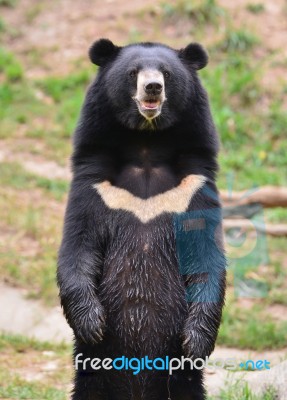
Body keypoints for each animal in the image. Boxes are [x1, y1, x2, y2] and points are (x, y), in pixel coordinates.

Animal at [58, 38, 227, 400]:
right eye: (133, 72)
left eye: (166, 73)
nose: (153, 88)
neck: (147, 145)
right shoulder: (94, 186)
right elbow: (77, 247)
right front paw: (92, 324)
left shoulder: (194, 187)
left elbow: (206, 256)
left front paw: (195, 342)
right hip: (94, 370)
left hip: (181, 379)